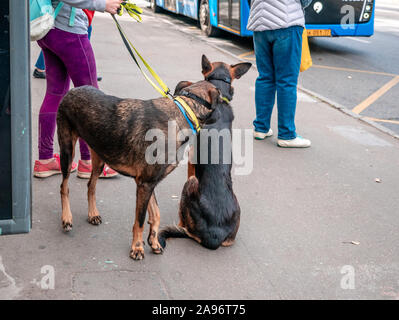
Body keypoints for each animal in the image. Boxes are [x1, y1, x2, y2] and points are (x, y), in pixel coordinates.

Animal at [56, 55, 250, 260]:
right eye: (221, 99)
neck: (184, 111)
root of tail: (74, 90)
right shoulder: (145, 183)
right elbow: (140, 220)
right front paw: (137, 248)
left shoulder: (148, 183)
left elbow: (155, 214)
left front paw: (154, 242)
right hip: (67, 150)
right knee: (64, 186)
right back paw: (66, 218)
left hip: (100, 157)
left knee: (91, 185)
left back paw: (93, 213)